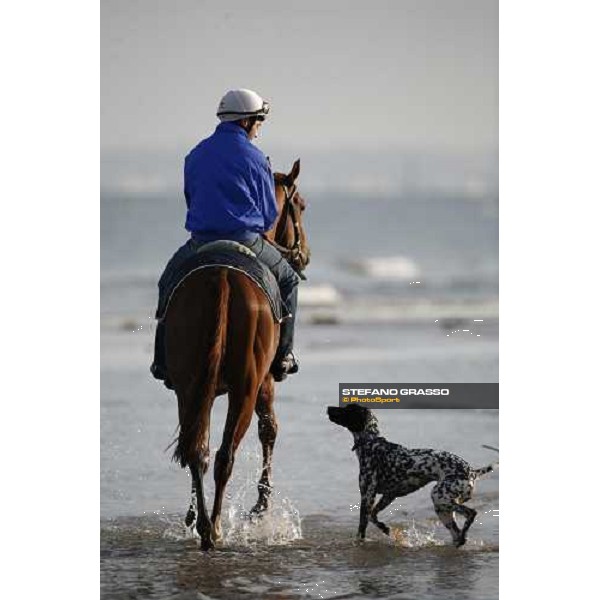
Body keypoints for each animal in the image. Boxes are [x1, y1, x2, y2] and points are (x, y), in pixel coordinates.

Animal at [168, 158, 312, 548]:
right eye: (301, 206)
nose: (305, 256)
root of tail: (221, 276)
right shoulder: (264, 383)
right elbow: (270, 429)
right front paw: (261, 506)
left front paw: (190, 515)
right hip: (246, 387)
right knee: (224, 455)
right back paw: (214, 528)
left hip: (189, 387)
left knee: (197, 451)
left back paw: (201, 523)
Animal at [326, 406, 500, 548]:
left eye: (347, 408)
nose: (328, 407)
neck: (371, 444)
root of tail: (472, 471)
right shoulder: (388, 496)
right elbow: (373, 516)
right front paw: (385, 529)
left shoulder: (367, 496)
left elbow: (363, 524)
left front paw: (361, 542)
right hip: (442, 507)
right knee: (457, 534)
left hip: (439, 497)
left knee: (471, 514)